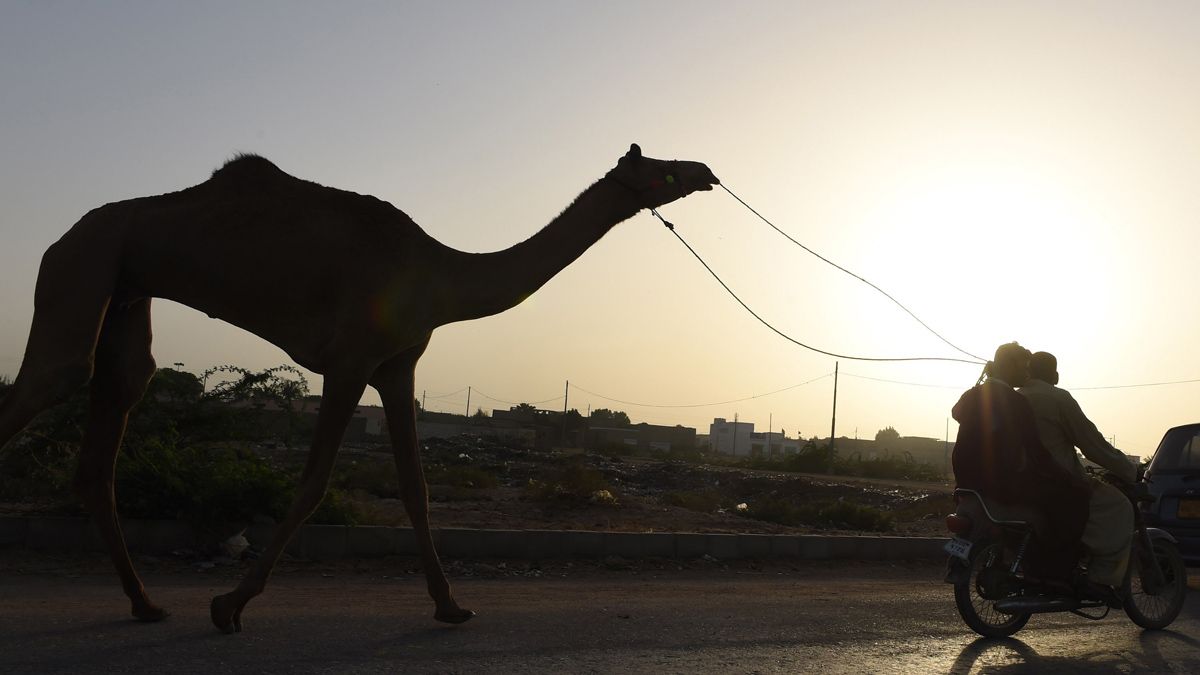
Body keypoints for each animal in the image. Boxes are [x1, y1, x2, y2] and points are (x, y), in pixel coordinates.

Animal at [0, 144, 718, 632]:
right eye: (661, 167)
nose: (705, 169)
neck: (442, 277)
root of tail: (62, 236)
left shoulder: (398, 366)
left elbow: (417, 489)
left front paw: (451, 604)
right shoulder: (348, 361)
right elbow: (314, 483)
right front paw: (229, 603)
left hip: (125, 289)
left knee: (112, 413)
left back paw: (147, 603)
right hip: (81, 262)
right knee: (54, 378)